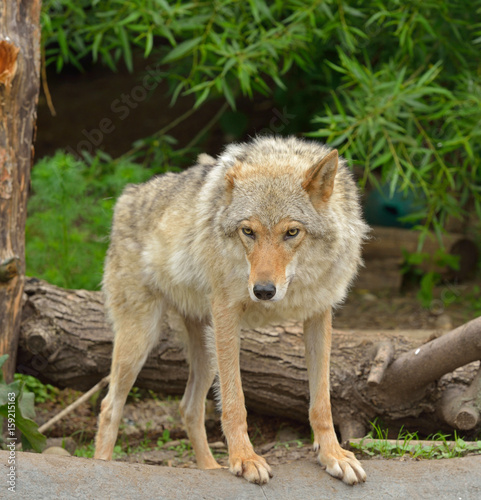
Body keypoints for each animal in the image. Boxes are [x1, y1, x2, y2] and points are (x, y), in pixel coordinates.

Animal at [94, 136, 372, 484]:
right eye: (248, 231)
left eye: (292, 232)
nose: (263, 291)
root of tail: (128, 195)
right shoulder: (227, 313)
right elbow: (235, 402)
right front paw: (245, 458)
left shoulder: (319, 315)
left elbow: (322, 401)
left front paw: (333, 455)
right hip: (142, 339)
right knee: (110, 406)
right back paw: (102, 466)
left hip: (205, 349)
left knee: (188, 407)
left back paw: (210, 468)